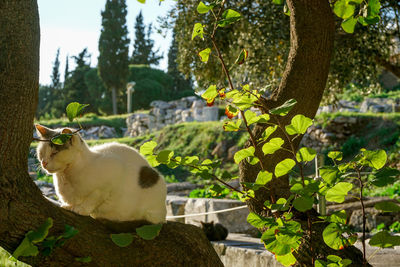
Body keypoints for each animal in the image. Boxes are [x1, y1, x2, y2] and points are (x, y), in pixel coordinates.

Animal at [33, 124, 166, 225]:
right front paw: (68, 206)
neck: (65, 176)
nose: (44, 162)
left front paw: (81, 209)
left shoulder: (113, 172)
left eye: (54, 153)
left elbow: (94, 197)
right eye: (41, 153)